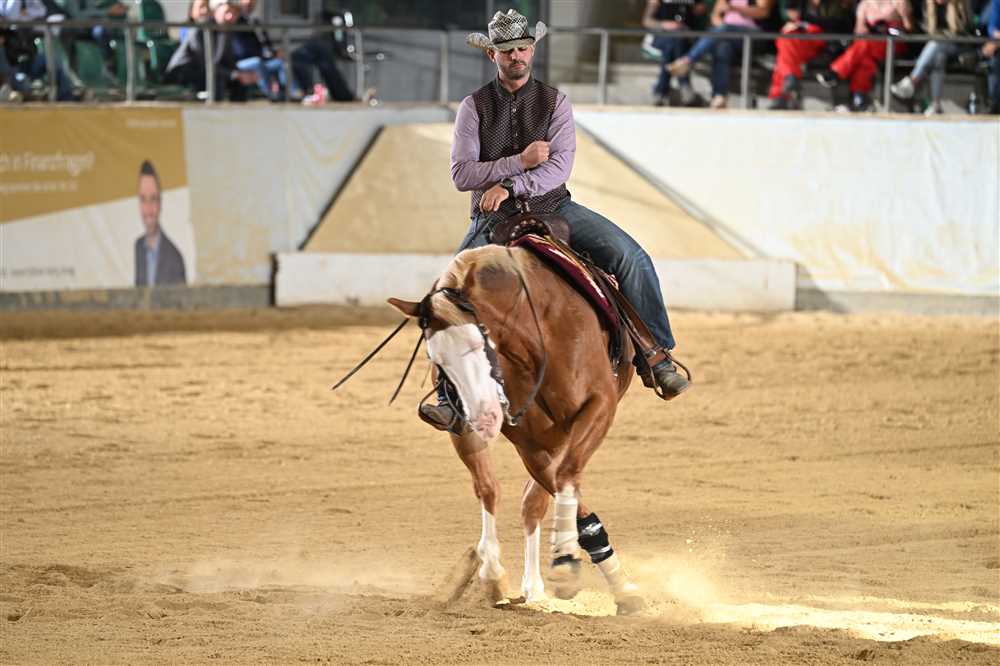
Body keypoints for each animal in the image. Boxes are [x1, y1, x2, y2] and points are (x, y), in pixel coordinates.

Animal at [388, 242, 645, 614]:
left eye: (478, 345)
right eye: (436, 361)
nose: (480, 418)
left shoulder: (599, 406)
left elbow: (564, 479)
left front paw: (573, 566)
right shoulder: (523, 440)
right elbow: (504, 489)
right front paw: (494, 572)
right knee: (512, 495)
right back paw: (513, 579)